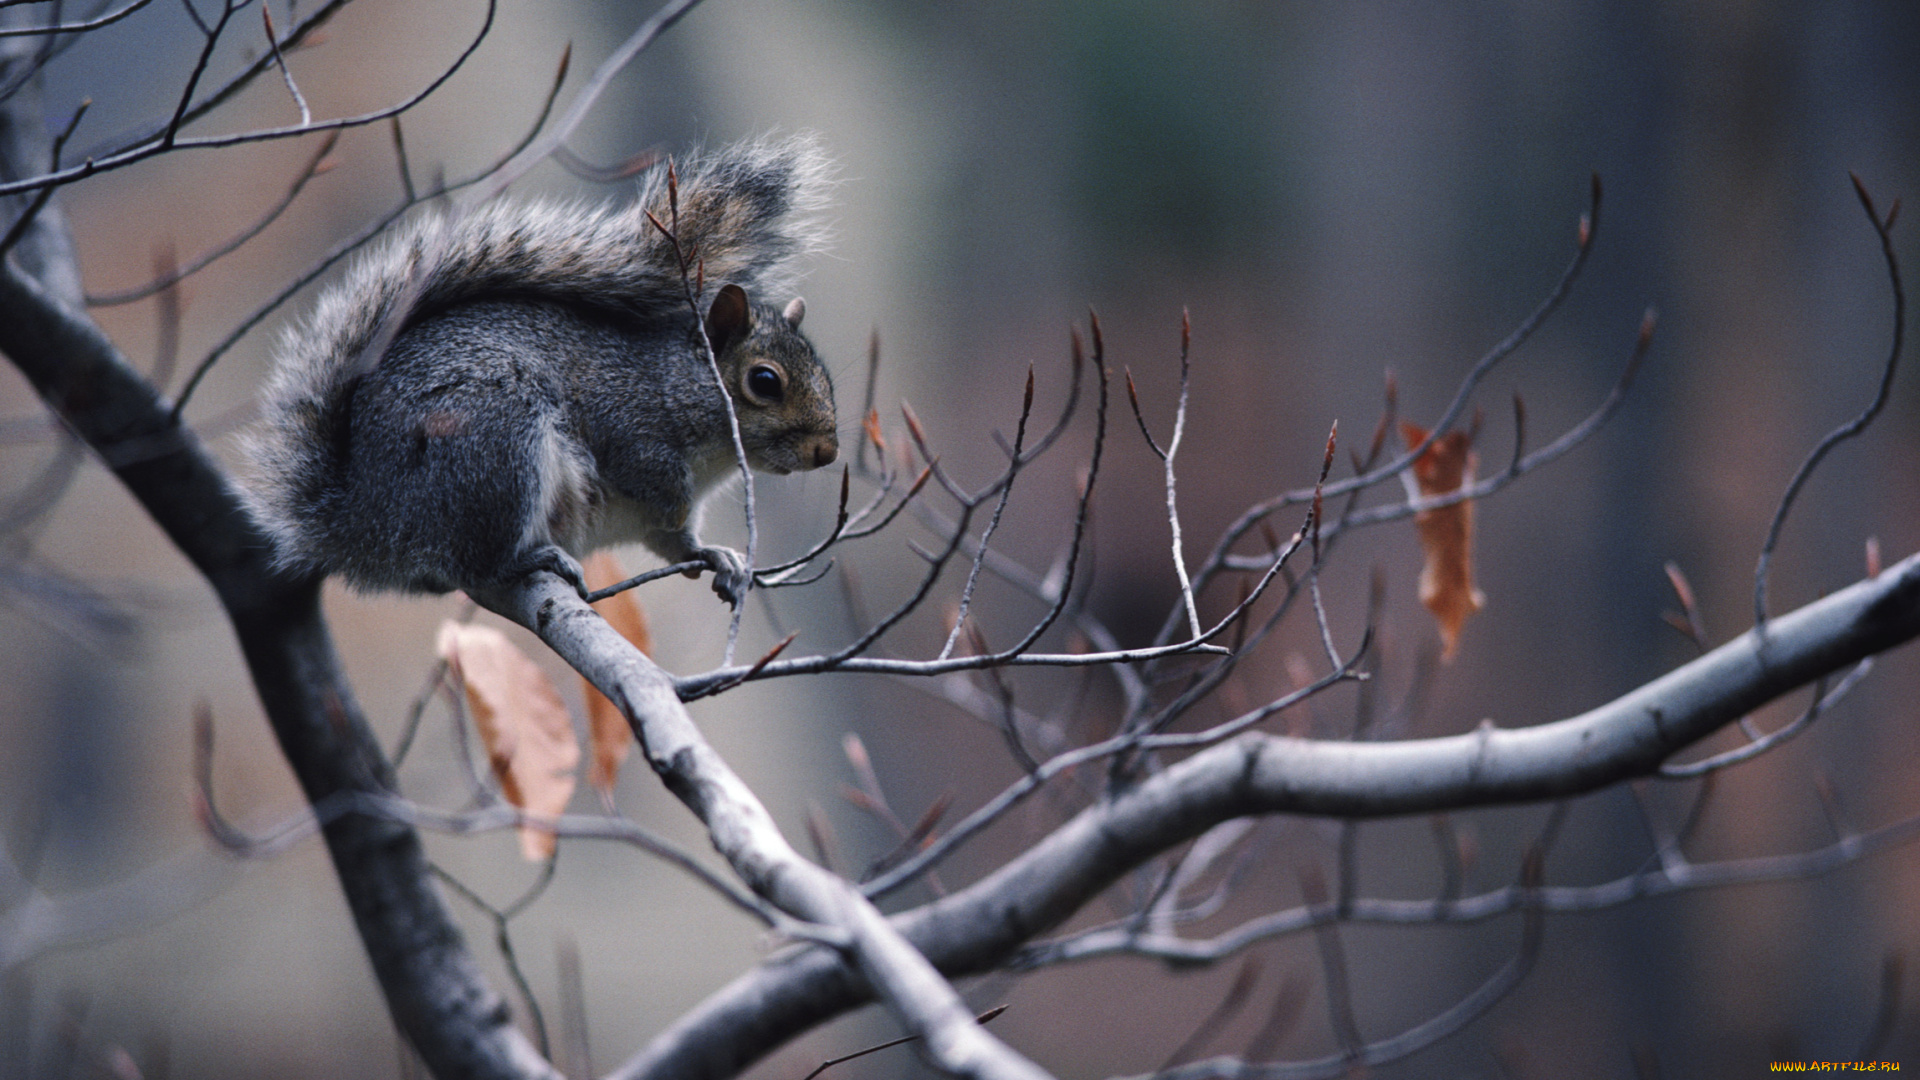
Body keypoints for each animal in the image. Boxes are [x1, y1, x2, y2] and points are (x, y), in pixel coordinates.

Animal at [241, 135, 840, 607]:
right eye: (764, 382)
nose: (828, 453)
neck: (679, 388)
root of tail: (363, 521)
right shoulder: (629, 421)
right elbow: (645, 474)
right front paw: (672, 501)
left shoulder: (659, 522)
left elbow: (676, 544)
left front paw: (718, 557)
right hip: (494, 444)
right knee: (471, 561)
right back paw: (529, 561)